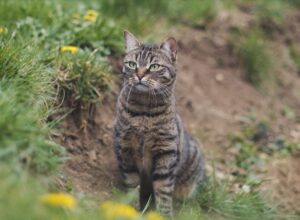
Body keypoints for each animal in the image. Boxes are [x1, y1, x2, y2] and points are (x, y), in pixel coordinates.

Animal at [113, 31, 206, 217]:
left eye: (154, 66)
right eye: (132, 64)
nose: (140, 75)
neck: (143, 112)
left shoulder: (166, 153)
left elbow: (163, 191)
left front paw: (164, 215)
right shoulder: (125, 148)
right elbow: (132, 184)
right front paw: (131, 209)